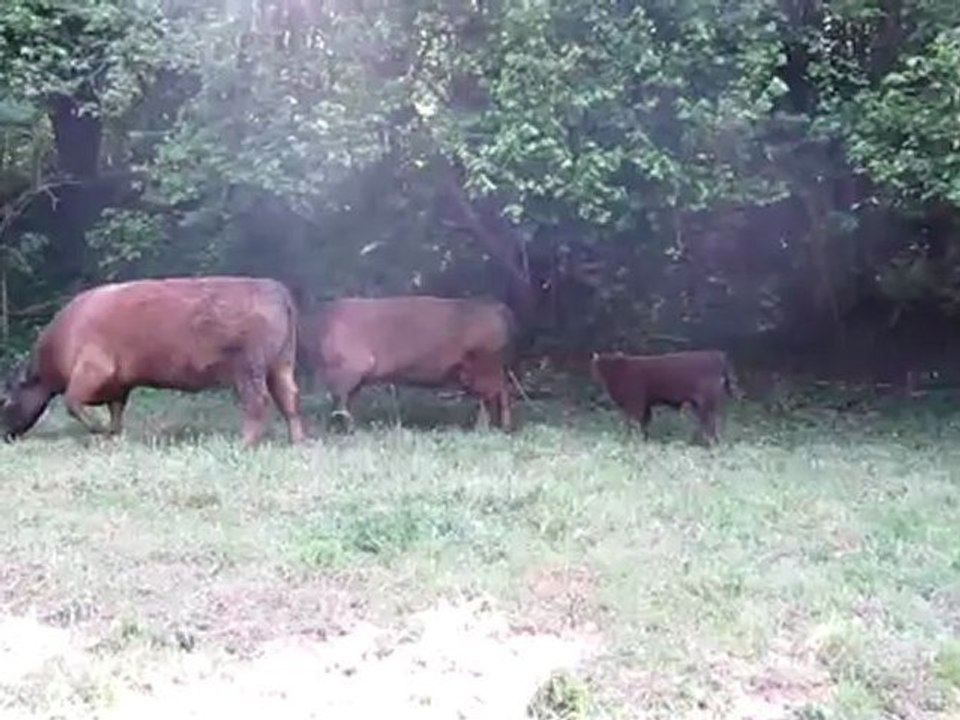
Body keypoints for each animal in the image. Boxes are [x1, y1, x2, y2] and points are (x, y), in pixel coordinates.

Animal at [1, 276, 305, 446]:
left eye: (5, 401)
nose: (4, 435)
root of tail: (274, 288)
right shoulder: (118, 383)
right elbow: (116, 411)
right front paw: (112, 434)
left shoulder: (92, 369)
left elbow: (72, 403)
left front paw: (98, 429)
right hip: (281, 367)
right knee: (288, 399)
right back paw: (297, 441)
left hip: (249, 369)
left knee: (257, 401)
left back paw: (245, 442)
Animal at [297, 295, 516, 431]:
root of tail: (497, 307)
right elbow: (345, 402)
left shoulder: (348, 370)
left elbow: (340, 403)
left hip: (484, 367)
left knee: (497, 393)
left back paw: (495, 426)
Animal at [590, 349, 739, 445]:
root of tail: (717, 355)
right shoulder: (645, 405)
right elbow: (644, 422)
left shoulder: (635, 403)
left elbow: (635, 423)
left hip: (707, 401)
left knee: (711, 421)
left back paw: (710, 442)